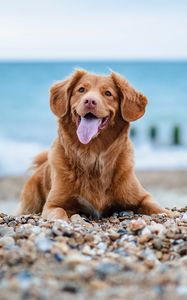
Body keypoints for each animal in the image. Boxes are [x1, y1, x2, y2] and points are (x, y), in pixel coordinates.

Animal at [20, 69, 171, 220]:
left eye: (108, 93)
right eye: (81, 89)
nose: (90, 101)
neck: (93, 155)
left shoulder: (142, 197)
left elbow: (158, 208)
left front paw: (169, 213)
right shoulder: (53, 204)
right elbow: (59, 213)